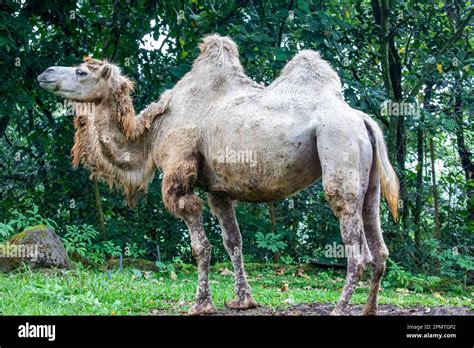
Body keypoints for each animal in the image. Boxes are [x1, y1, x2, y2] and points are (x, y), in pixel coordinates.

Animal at [38, 34, 400, 316]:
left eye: (82, 70)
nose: (45, 72)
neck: (152, 133)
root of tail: (363, 120)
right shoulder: (218, 190)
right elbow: (232, 241)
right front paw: (242, 301)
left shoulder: (178, 172)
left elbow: (201, 246)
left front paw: (201, 303)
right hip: (368, 179)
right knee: (379, 244)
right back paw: (369, 308)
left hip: (338, 150)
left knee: (355, 243)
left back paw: (340, 307)